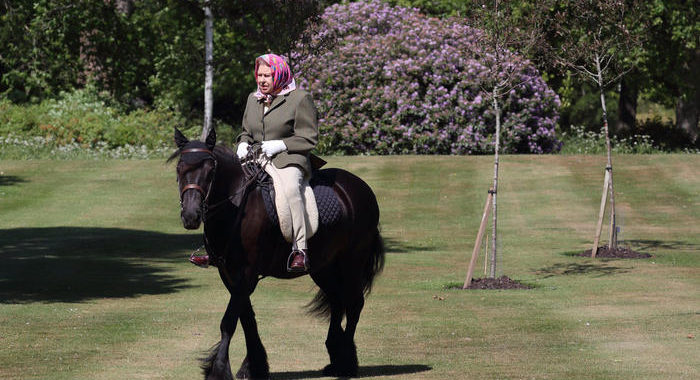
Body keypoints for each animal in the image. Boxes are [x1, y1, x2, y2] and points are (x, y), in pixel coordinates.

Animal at [172, 129, 386, 378]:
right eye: (179, 169)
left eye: (211, 170)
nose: (191, 216)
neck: (236, 205)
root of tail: (359, 187)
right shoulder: (229, 274)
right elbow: (247, 319)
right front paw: (254, 366)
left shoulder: (246, 273)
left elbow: (229, 321)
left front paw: (218, 370)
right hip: (323, 267)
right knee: (336, 301)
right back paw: (336, 356)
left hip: (352, 261)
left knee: (353, 304)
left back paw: (347, 363)